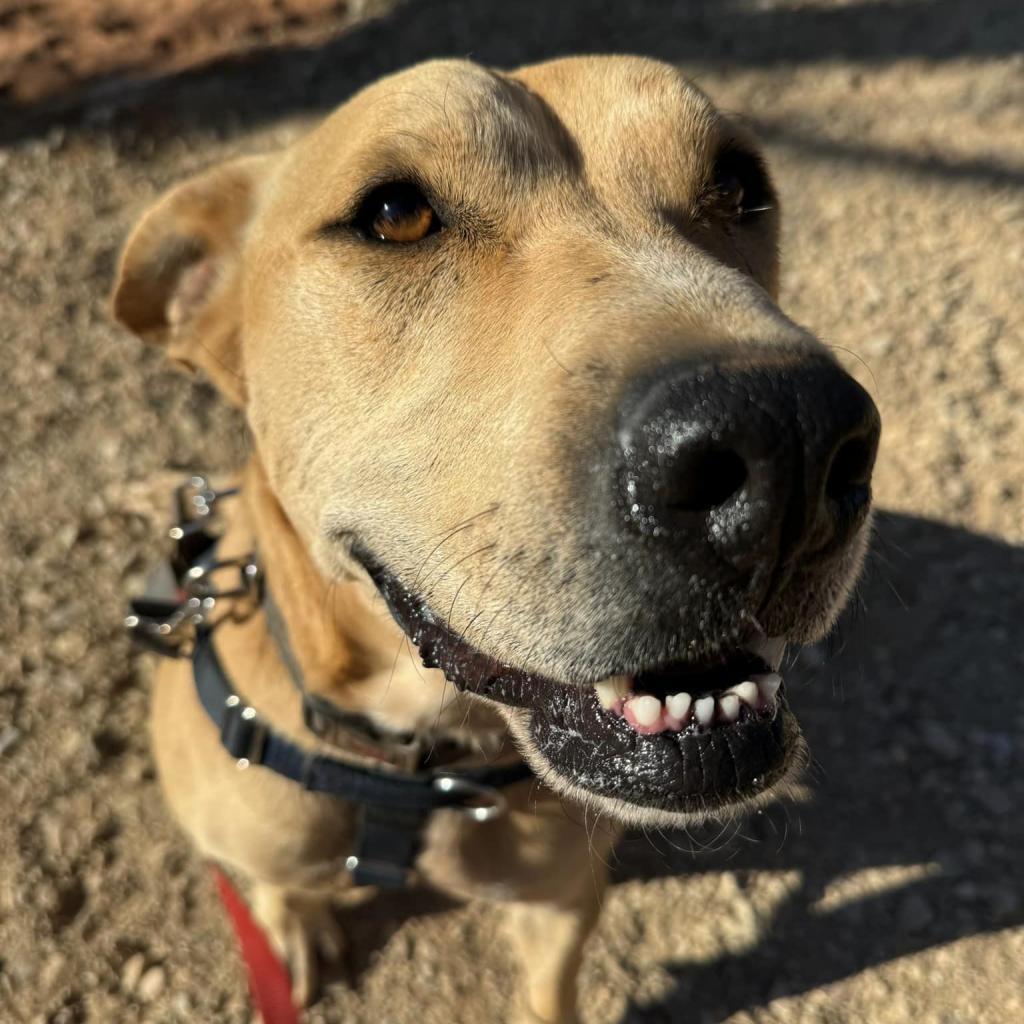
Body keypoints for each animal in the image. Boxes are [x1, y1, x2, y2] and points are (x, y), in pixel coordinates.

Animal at [110, 56, 880, 1024]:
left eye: (740, 187)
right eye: (395, 213)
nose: (791, 442)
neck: (418, 761)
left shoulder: (560, 903)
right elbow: (278, 886)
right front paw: (293, 927)